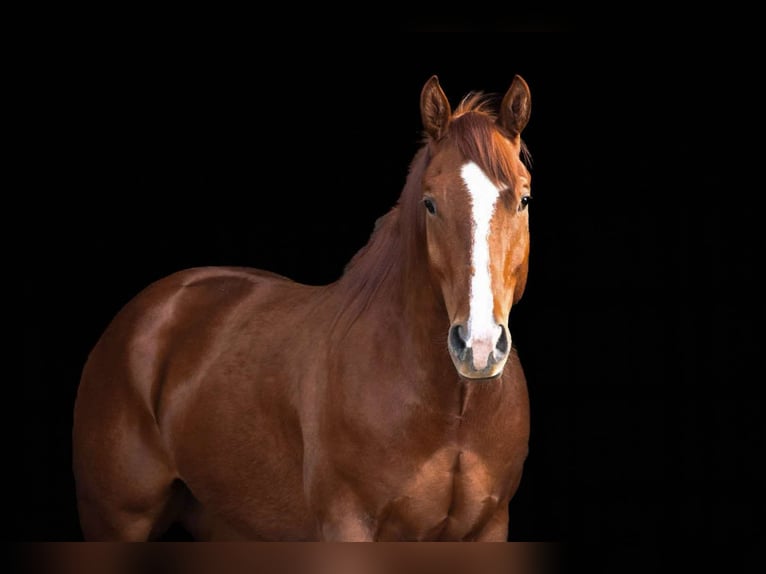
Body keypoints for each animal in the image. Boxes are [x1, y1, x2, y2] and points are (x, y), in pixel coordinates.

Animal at [72, 74, 534, 541]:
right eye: (431, 203)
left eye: (524, 199)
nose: (478, 346)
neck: (455, 413)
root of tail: (148, 310)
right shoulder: (347, 524)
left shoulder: (489, 528)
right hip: (115, 523)